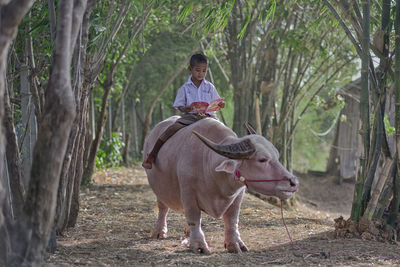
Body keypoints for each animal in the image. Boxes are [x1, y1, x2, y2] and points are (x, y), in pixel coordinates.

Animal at [143, 116, 296, 254]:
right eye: (262, 159)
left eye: (277, 156)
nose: (293, 182)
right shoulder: (188, 193)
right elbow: (194, 218)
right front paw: (199, 245)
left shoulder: (238, 195)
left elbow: (232, 220)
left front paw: (235, 244)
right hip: (159, 189)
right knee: (163, 208)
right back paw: (160, 231)